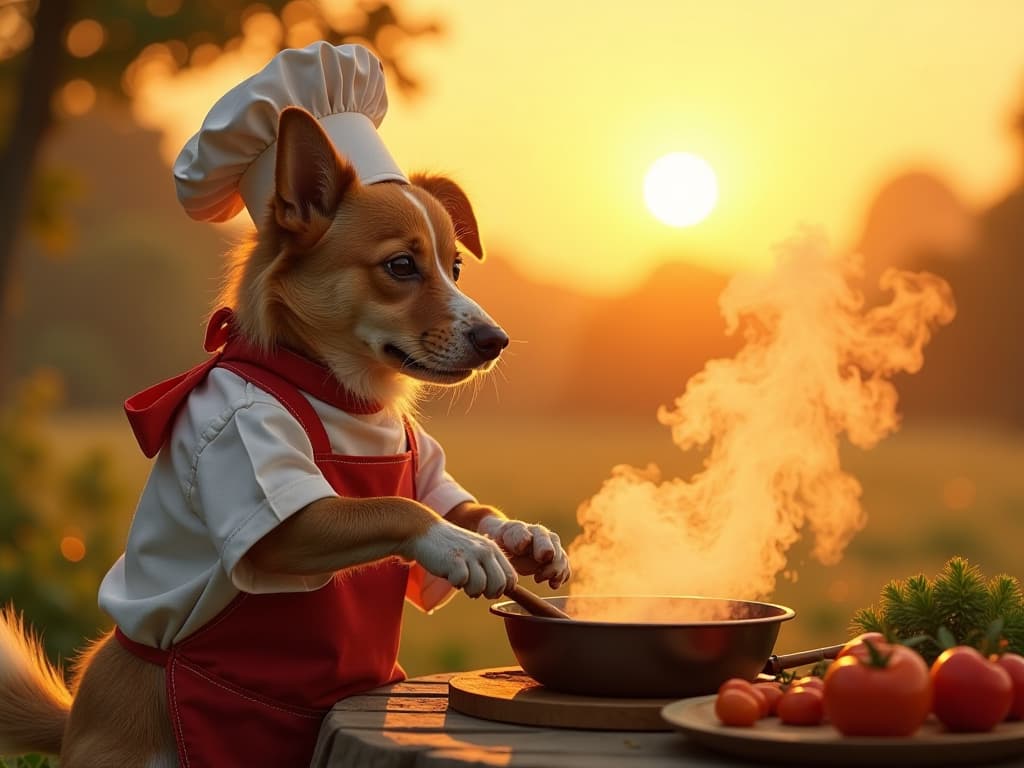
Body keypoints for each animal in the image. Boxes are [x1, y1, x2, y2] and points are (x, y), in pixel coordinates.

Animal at [0, 107, 569, 768]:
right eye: (401, 266)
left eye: (455, 268)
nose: (496, 341)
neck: (344, 396)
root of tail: (75, 721)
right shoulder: (265, 483)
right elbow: (391, 506)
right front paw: (460, 548)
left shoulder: (424, 464)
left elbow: (460, 506)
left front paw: (525, 539)